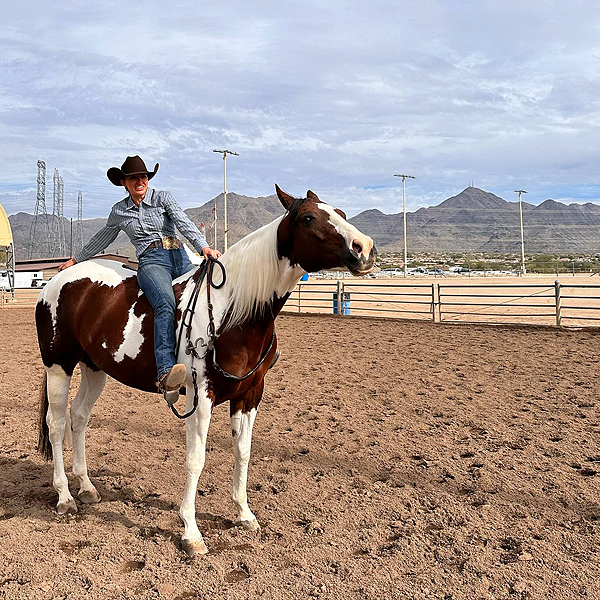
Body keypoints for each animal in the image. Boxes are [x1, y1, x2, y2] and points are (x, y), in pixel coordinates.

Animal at [35, 185, 376, 556]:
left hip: (95, 369)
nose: (364, 248)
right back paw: (65, 497)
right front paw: (191, 532)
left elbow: (243, 452)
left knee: (79, 417)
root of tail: (58, 279)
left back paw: (86, 488)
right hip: (58, 367)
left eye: (341, 212)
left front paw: (244, 514)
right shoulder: (201, 396)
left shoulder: (250, 394)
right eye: (309, 218)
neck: (233, 312)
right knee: (57, 424)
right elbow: (195, 460)